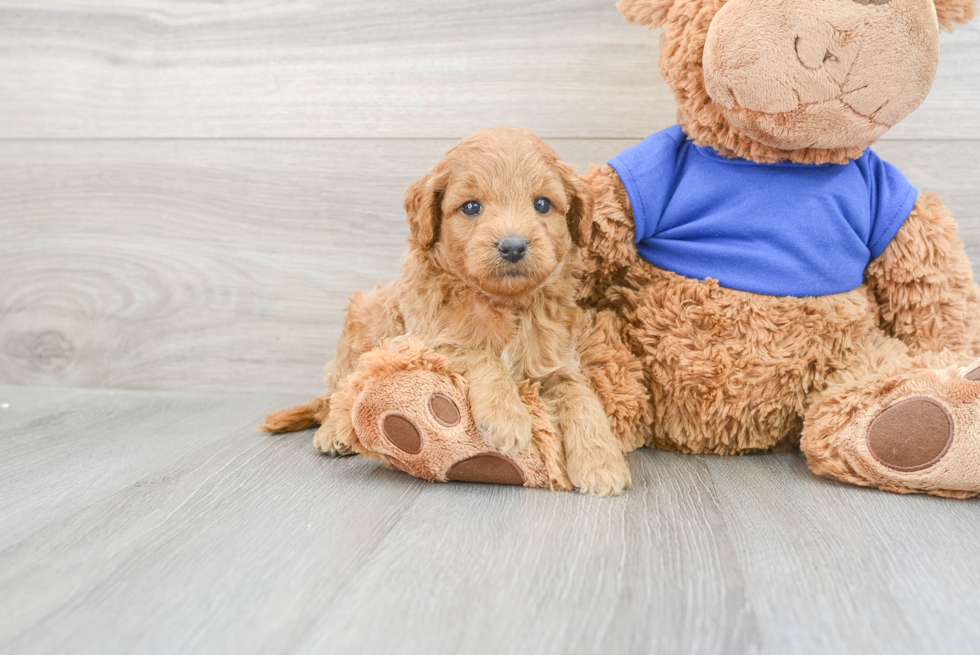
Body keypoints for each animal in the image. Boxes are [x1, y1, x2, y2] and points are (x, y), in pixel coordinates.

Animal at [268, 129, 632, 498]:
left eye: (542, 204)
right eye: (471, 207)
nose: (513, 246)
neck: (504, 302)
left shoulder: (559, 362)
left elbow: (583, 398)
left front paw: (602, 465)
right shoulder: (419, 343)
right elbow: (482, 355)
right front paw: (506, 418)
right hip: (362, 325)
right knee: (339, 393)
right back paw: (333, 433)